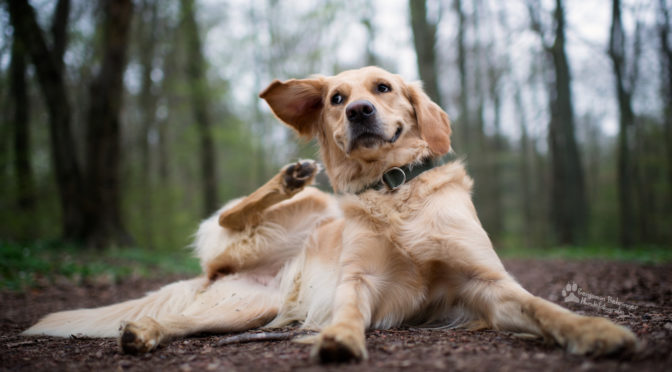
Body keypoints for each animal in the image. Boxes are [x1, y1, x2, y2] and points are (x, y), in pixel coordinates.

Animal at [23, 66, 636, 360]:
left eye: (383, 88)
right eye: (337, 98)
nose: (360, 110)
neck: (392, 190)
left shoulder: (488, 285)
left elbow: (545, 309)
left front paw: (595, 331)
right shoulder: (357, 278)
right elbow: (346, 309)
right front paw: (339, 338)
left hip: (242, 308)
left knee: (180, 320)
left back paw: (144, 332)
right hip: (303, 214)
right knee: (230, 218)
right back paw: (288, 178)